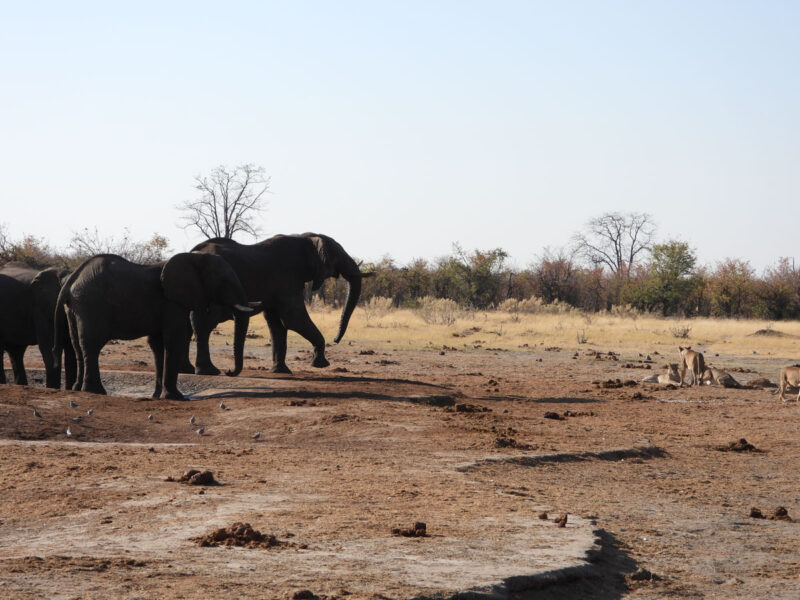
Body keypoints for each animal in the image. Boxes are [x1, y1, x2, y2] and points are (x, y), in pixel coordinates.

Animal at [52, 252, 257, 399]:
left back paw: (78, 389)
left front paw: (157, 396)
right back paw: (95, 391)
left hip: (75, 308)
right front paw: (175, 398)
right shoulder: (172, 303)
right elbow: (174, 340)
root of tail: (70, 281)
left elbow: (158, 345)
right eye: (224, 281)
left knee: (77, 345)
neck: (193, 257)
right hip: (92, 305)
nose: (228, 372)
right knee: (92, 345)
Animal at [184, 232, 371, 376]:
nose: (335, 339)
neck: (306, 237)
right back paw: (208, 371)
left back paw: (192, 370)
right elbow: (293, 318)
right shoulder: (287, 278)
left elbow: (277, 324)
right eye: (338, 254)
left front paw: (280, 371)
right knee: (205, 323)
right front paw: (321, 364)